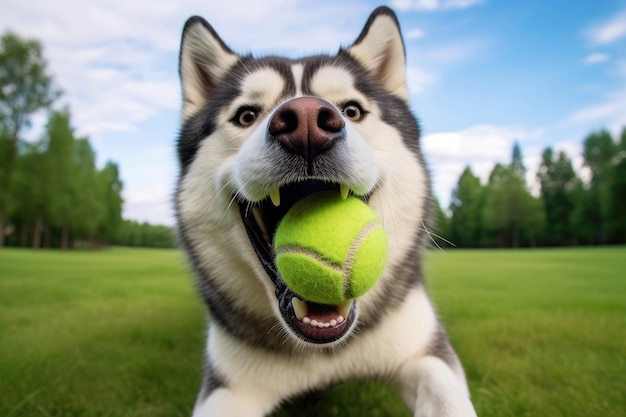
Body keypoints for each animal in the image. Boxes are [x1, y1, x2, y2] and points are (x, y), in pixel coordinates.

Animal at [173, 6, 476, 416]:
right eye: (246, 115)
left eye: (352, 110)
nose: (305, 122)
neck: (324, 350)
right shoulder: (228, 386)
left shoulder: (423, 350)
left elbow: (443, 390)